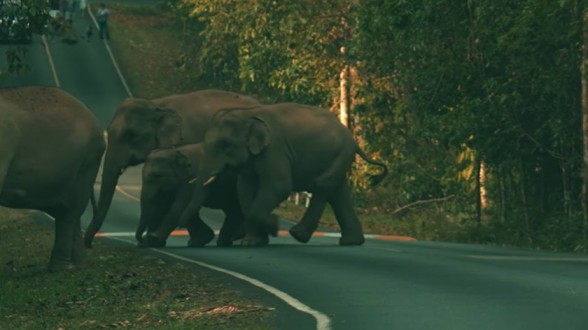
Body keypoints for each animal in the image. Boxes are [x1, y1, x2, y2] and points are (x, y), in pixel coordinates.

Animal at [82, 88, 260, 248]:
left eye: (131, 135)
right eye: (108, 132)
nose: (89, 244)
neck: (157, 106)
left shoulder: (185, 145)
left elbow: (177, 197)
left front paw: (153, 240)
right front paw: (197, 240)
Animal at [177, 102, 388, 246]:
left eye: (226, 145)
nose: (179, 226)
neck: (248, 113)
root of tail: (352, 138)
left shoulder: (275, 150)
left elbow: (279, 186)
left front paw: (274, 226)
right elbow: (245, 189)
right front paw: (253, 242)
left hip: (341, 153)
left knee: (324, 185)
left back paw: (297, 235)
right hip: (339, 156)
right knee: (338, 192)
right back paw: (351, 242)